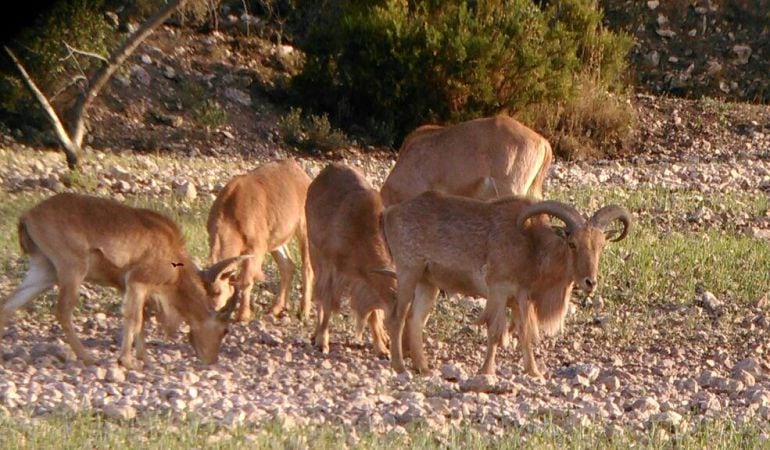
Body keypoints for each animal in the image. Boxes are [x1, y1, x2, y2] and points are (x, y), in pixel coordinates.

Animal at [0, 192, 246, 368]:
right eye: (224, 330)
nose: (211, 360)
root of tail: (28, 216)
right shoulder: (137, 282)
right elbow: (134, 319)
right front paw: (127, 361)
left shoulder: (136, 289)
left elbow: (142, 322)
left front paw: (145, 359)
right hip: (72, 268)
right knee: (62, 311)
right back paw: (88, 357)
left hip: (44, 271)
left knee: (9, 304)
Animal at [207, 160, 312, 322]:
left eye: (217, 291)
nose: (211, 310)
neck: (230, 215)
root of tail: (301, 174)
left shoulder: (255, 248)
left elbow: (245, 281)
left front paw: (242, 315)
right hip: (276, 240)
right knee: (287, 266)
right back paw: (275, 309)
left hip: (304, 228)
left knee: (307, 268)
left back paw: (304, 312)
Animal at [304, 163, 392, 356]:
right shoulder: (332, 266)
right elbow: (327, 302)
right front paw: (322, 341)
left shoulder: (363, 279)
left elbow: (373, 312)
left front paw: (381, 348)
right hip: (314, 252)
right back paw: (315, 335)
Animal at [380, 192, 632, 378]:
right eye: (572, 243)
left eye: (601, 246)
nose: (590, 282)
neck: (532, 248)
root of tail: (389, 213)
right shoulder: (499, 290)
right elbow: (494, 330)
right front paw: (487, 371)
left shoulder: (520, 299)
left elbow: (524, 333)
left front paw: (534, 372)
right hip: (409, 271)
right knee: (397, 316)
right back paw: (399, 366)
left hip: (427, 282)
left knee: (415, 320)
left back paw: (424, 368)